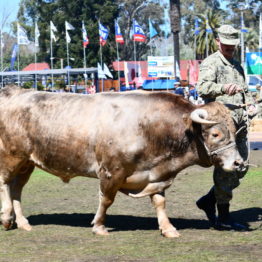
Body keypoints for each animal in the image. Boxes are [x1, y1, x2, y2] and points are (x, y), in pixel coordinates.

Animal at [0, 85, 244, 237]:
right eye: (215, 134)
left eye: (234, 130)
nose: (239, 163)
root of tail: (14, 91)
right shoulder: (111, 171)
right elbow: (106, 200)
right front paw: (99, 226)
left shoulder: (155, 175)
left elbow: (160, 202)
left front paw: (168, 228)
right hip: (11, 157)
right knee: (5, 184)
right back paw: (6, 218)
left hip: (27, 163)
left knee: (17, 189)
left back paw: (22, 222)